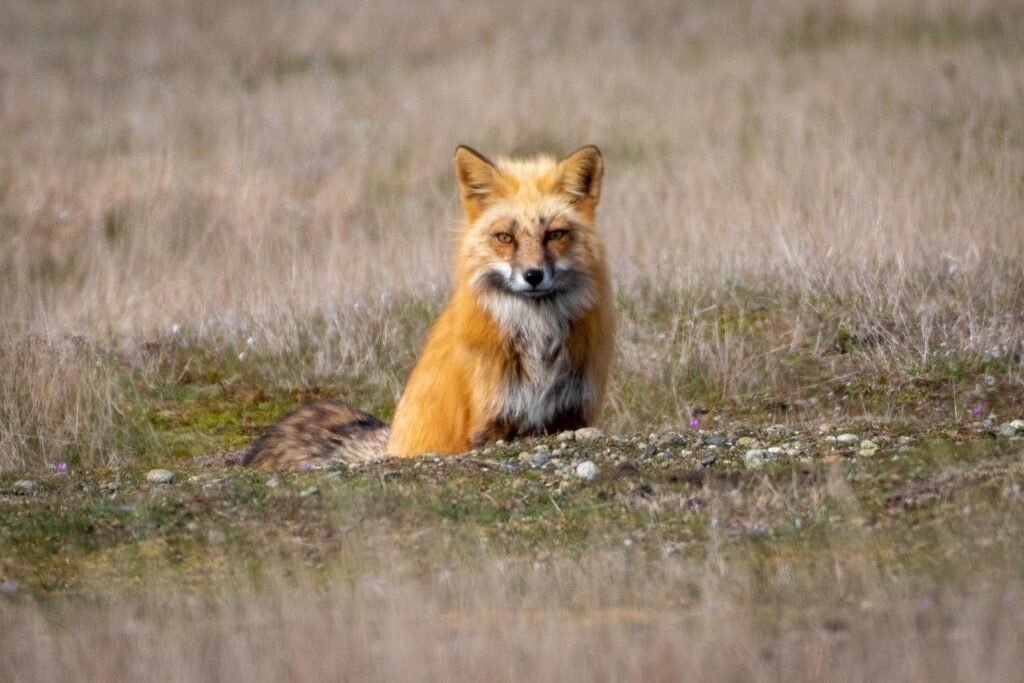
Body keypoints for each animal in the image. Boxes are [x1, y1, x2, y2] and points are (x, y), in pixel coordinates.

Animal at [243, 144, 614, 468]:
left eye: (555, 234)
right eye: (505, 238)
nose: (533, 276)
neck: (537, 343)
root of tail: (388, 445)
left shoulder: (572, 414)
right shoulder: (489, 422)